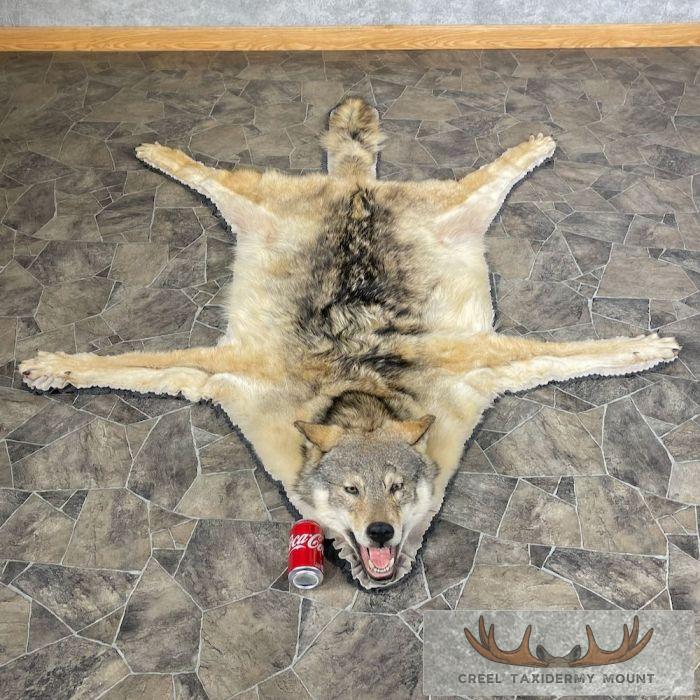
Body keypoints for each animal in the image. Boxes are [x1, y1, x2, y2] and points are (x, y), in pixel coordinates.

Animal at [20, 97, 680, 588]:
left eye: (396, 489)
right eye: (351, 492)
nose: (380, 533)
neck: (358, 393)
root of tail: (356, 188)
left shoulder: (478, 362)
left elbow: (582, 353)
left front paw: (647, 348)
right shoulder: (230, 372)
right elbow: (128, 363)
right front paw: (52, 365)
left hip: (455, 211)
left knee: (494, 170)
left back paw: (536, 145)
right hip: (256, 205)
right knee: (207, 173)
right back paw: (156, 151)